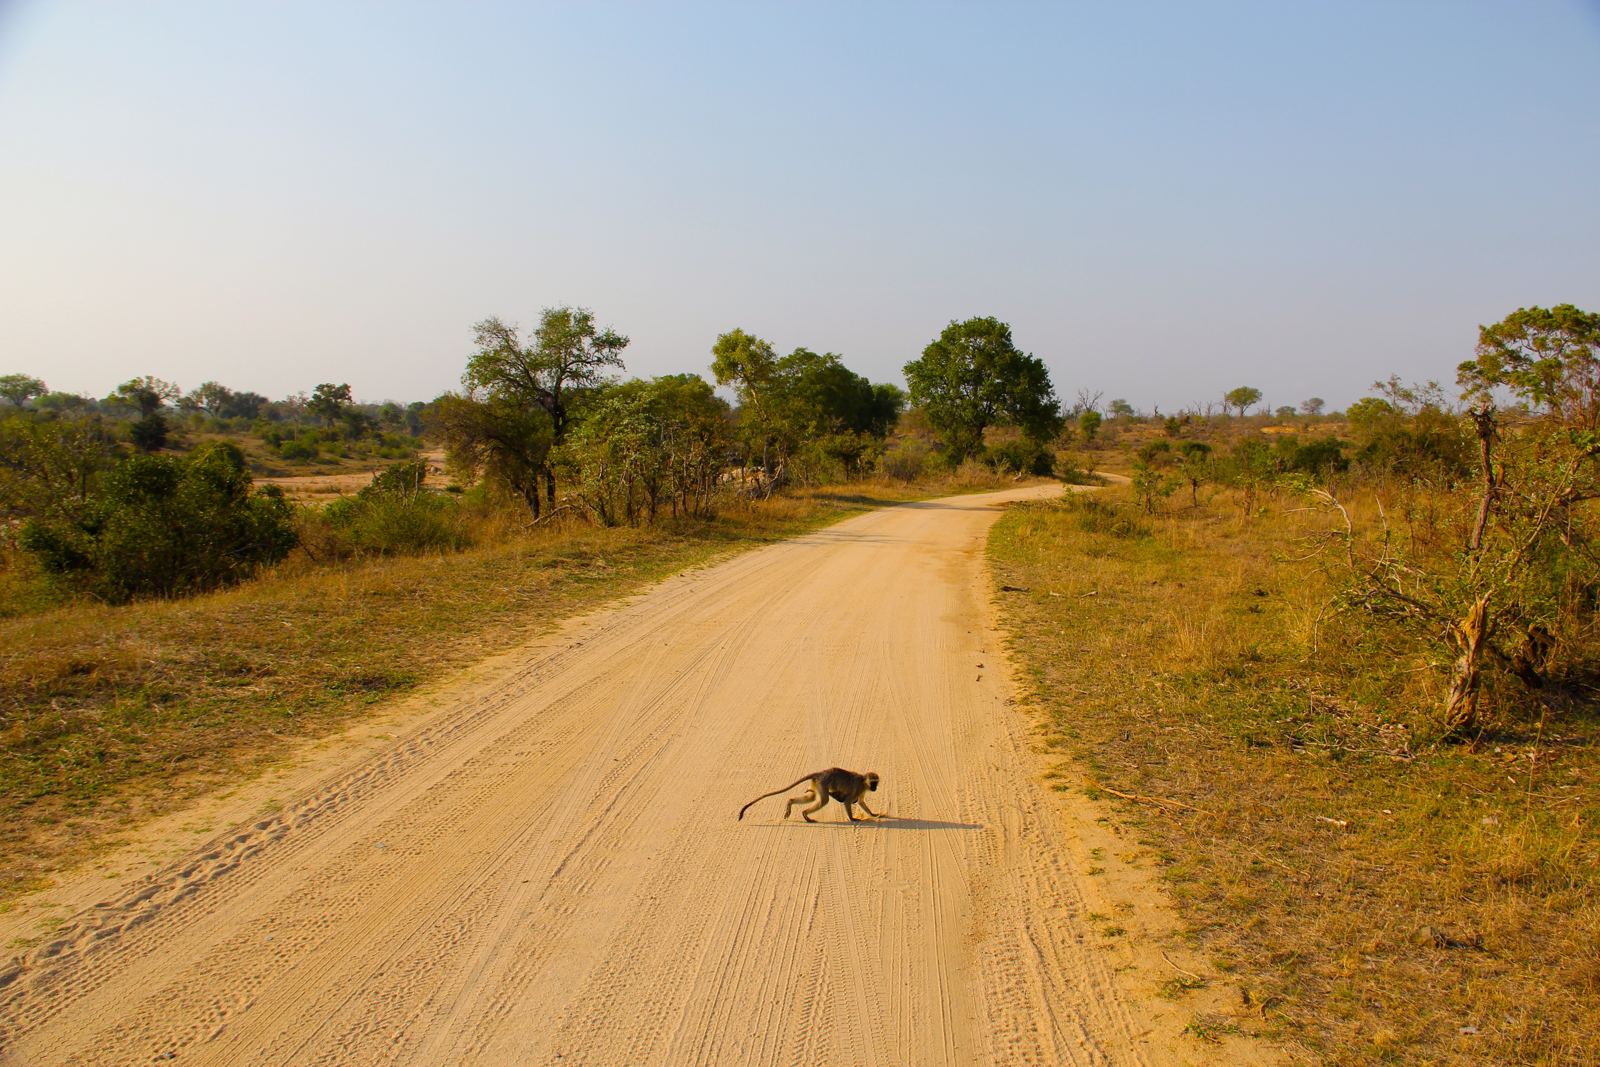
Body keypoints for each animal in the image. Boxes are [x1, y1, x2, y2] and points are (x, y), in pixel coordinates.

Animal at [738, 767, 883, 823]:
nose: (875, 788)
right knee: (824, 800)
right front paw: (852, 819)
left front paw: (873, 814)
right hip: (822, 783)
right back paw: (805, 814)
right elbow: (848, 802)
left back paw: (792, 804)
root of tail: (821, 773)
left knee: (812, 797)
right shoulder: (857, 788)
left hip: (816, 784)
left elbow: (861, 802)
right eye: (873, 783)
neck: (864, 782)